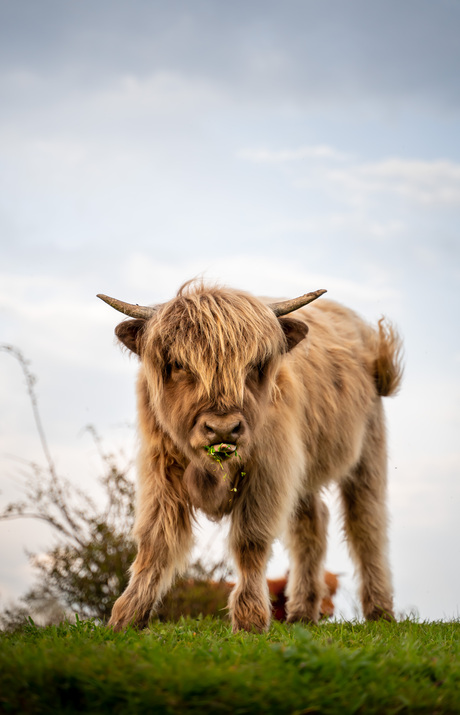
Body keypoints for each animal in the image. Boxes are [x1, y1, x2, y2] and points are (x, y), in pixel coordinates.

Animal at [99, 280, 400, 632]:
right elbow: (155, 540)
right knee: (311, 524)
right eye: (178, 364)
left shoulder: (269, 470)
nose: (222, 429)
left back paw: (380, 611)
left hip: (367, 452)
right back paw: (302, 613)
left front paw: (249, 619)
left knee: (366, 526)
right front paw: (127, 616)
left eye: (256, 365)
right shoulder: (160, 469)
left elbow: (250, 541)